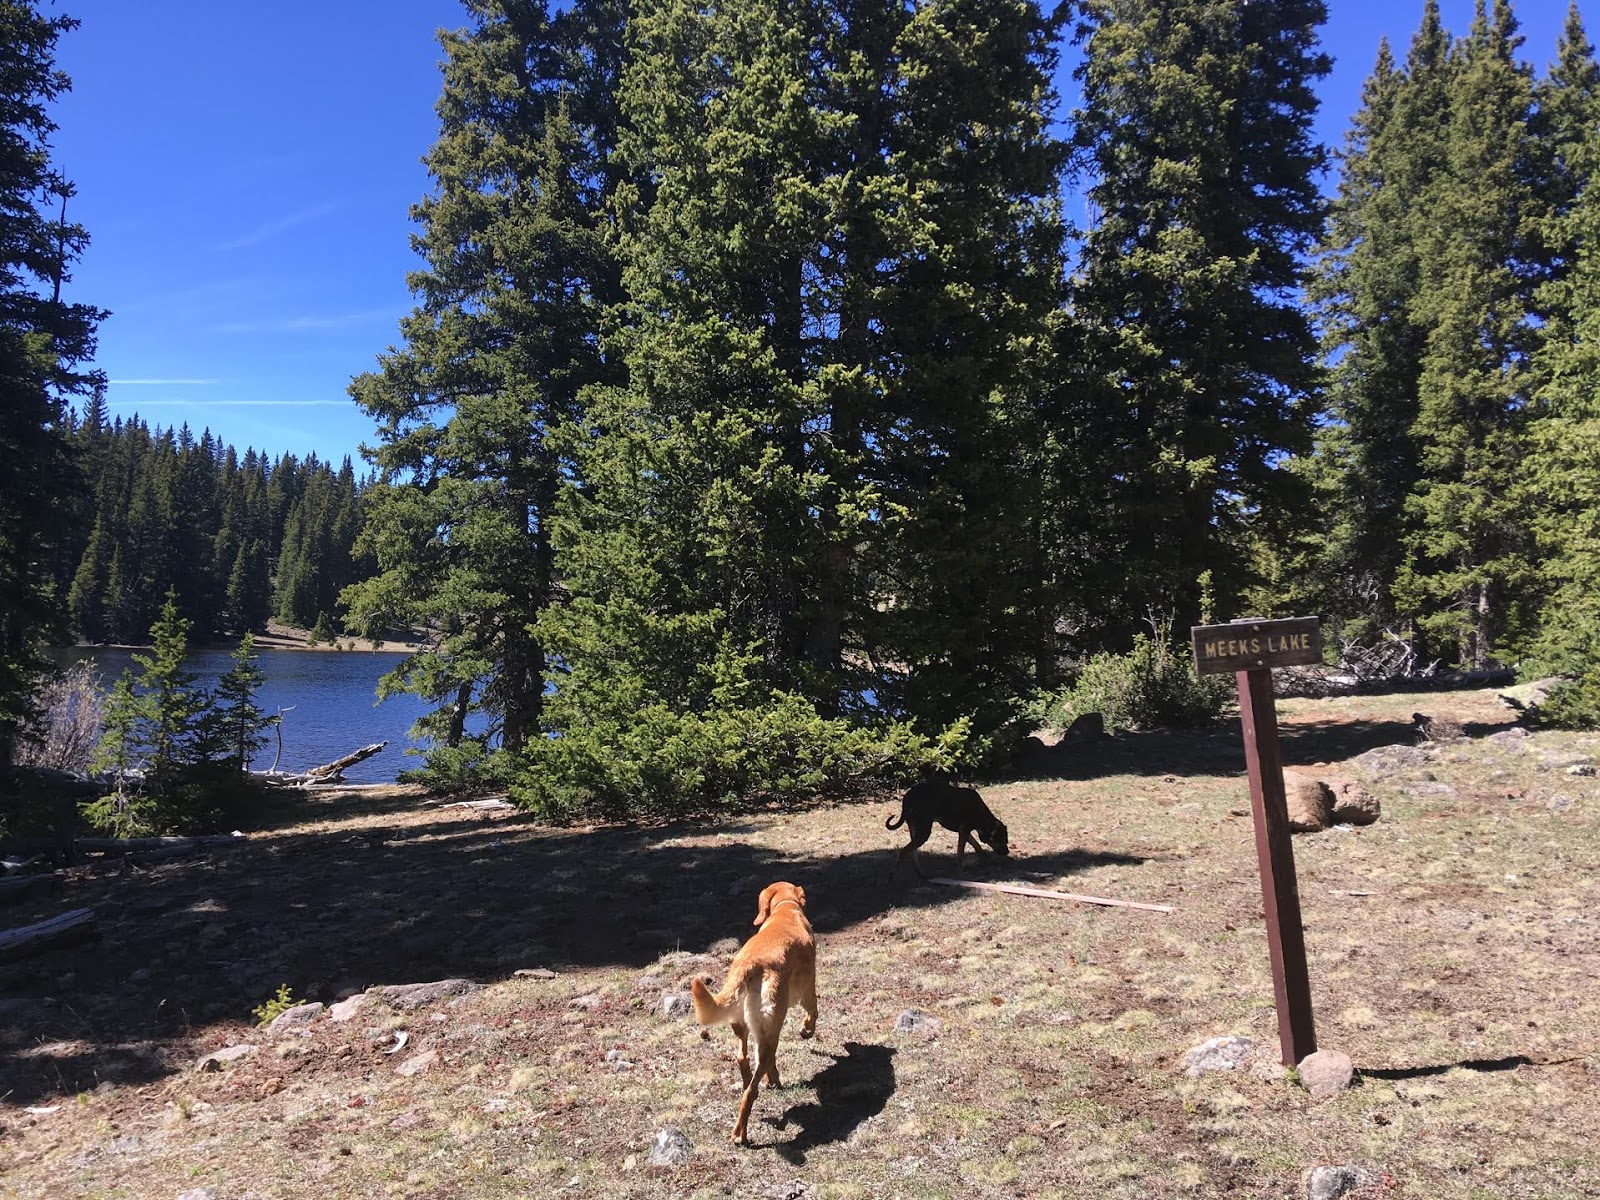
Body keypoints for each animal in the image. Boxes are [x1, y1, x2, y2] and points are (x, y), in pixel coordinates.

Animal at [688, 883, 819, 1145]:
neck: (786, 908)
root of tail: (748, 964)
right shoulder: (808, 989)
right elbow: (813, 1010)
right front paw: (807, 1030)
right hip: (771, 1029)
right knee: (752, 1089)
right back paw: (741, 1133)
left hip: (746, 1025)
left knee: (743, 1058)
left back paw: (763, 1080)